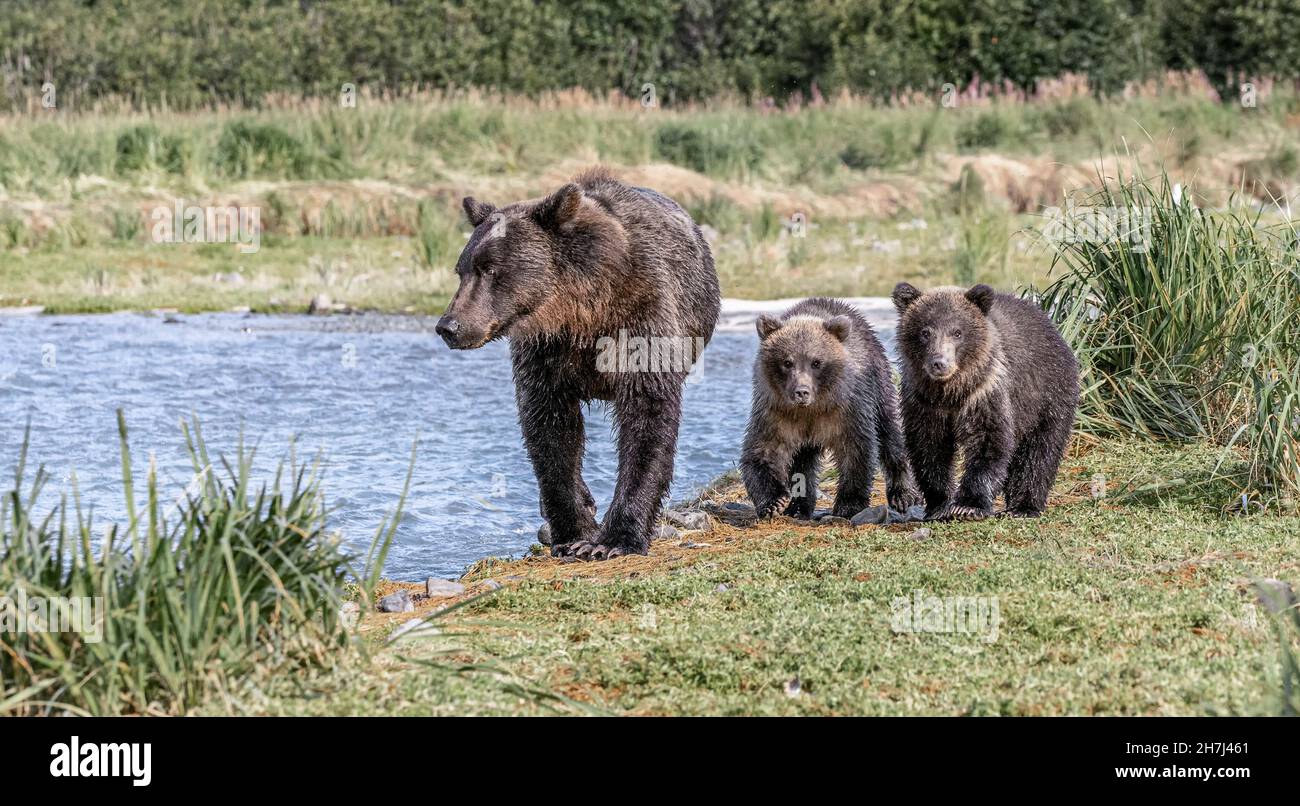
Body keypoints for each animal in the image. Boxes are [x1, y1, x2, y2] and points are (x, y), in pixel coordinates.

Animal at [436, 170, 722, 561]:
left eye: (490, 269)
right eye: (461, 270)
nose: (449, 326)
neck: (582, 311)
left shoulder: (641, 316)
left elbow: (648, 415)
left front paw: (615, 539)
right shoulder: (546, 351)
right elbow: (550, 427)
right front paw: (573, 532)